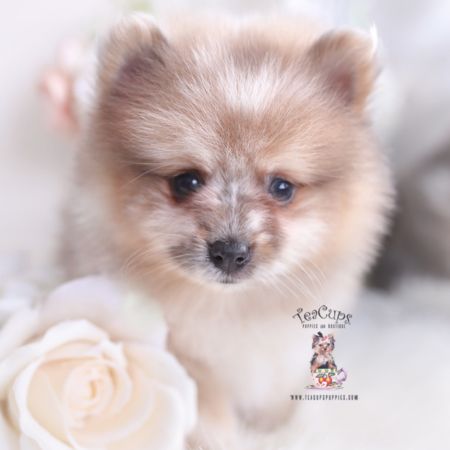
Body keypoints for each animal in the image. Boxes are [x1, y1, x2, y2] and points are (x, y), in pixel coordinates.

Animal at [63, 14, 394, 446]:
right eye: (186, 181)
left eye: (282, 188)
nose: (230, 253)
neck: (229, 307)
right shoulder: (181, 356)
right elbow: (205, 406)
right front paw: (221, 437)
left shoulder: (278, 355)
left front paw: (272, 428)